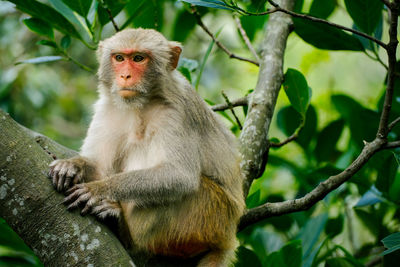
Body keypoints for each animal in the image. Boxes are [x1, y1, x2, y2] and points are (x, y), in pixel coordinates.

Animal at [48, 28, 245, 266]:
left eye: (138, 58)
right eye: (119, 58)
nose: (125, 76)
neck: (141, 105)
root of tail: (228, 238)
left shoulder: (176, 114)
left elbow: (180, 176)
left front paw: (99, 189)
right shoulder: (108, 107)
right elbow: (98, 166)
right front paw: (71, 165)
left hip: (210, 215)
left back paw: (123, 229)